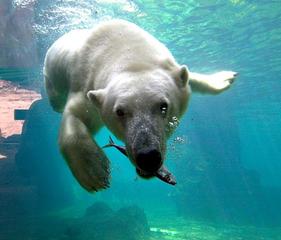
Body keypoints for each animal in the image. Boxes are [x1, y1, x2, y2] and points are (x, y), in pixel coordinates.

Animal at [43, 19, 236, 191]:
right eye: (120, 112)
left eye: (163, 106)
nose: (148, 157)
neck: (129, 54)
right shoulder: (85, 85)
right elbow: (75, 114)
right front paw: (93, 172)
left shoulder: (169, 68)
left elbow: (188, 79)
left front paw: (225, 79)